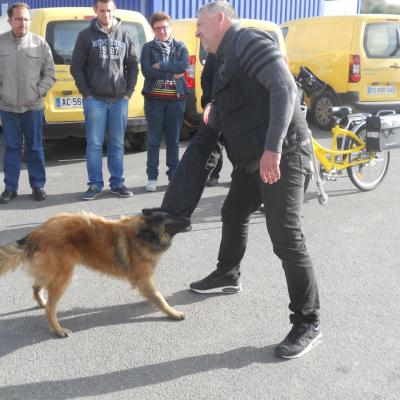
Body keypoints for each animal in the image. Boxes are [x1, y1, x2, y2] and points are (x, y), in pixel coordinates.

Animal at [0, 212, 190, 338]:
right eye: (171, 217)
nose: (189, 219)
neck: (143, 233)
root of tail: (36, 232)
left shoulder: (143, 281)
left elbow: (154, 295)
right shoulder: (144, 279)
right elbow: (158, 298)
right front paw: (172, 313)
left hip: (54, 273)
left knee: (37, 286)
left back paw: (42, 302)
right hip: (63, 276)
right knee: (50, 308)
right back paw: (58, 329)